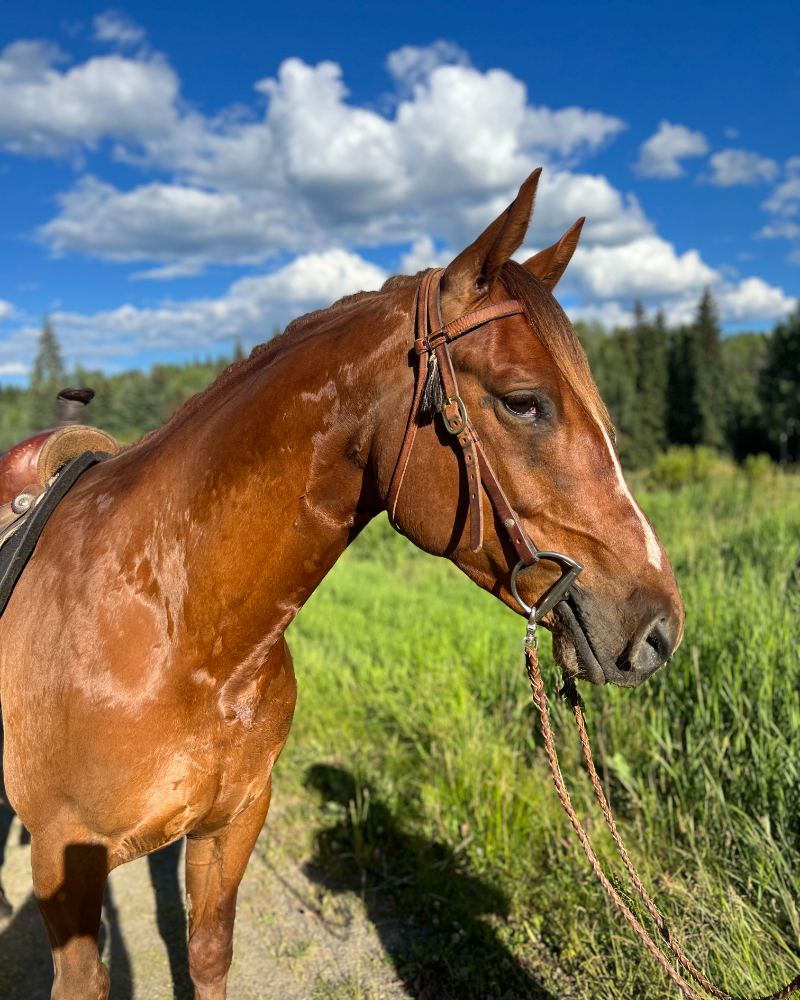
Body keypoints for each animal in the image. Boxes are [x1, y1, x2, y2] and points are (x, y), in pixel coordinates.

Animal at [0, 168, 683, 1000]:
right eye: (524, 401)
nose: (659, 628)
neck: (175, 631)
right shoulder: (63, 859)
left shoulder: (231, 826)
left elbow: (207, 954)